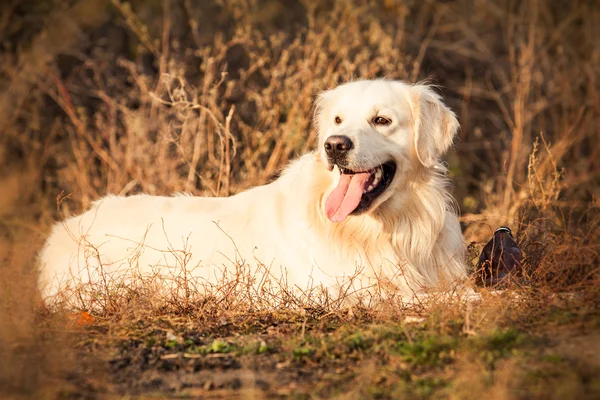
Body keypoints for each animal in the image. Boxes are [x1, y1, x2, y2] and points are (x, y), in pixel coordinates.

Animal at [38, 79, 468, 308]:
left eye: (381, 120)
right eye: (337, 120)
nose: (333, 145)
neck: (388, 227)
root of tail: (63, 229)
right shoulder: (336, 290)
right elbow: (426, 298)